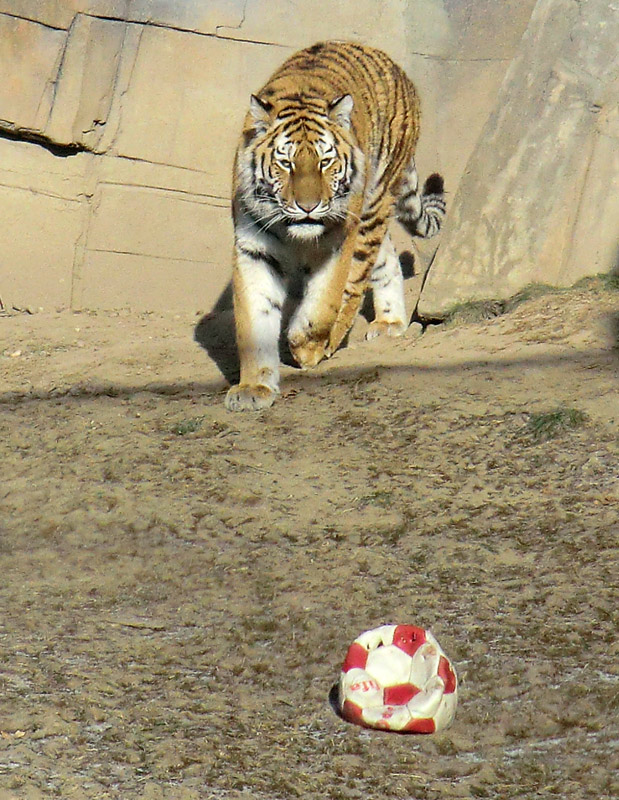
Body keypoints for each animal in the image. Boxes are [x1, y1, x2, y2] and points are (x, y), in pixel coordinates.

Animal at [225, 39, 444, 410]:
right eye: (286, 163)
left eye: (325, 161)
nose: (308, 206)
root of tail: (392, 63)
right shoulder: (254, 248)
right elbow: (254, 318)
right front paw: (254, 387)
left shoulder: (339, 240)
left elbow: (326, 301)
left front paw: (306, 346)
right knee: (387, 259)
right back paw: (390, 321)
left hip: (371, 208)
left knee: (356, 282)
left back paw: (339, 337)